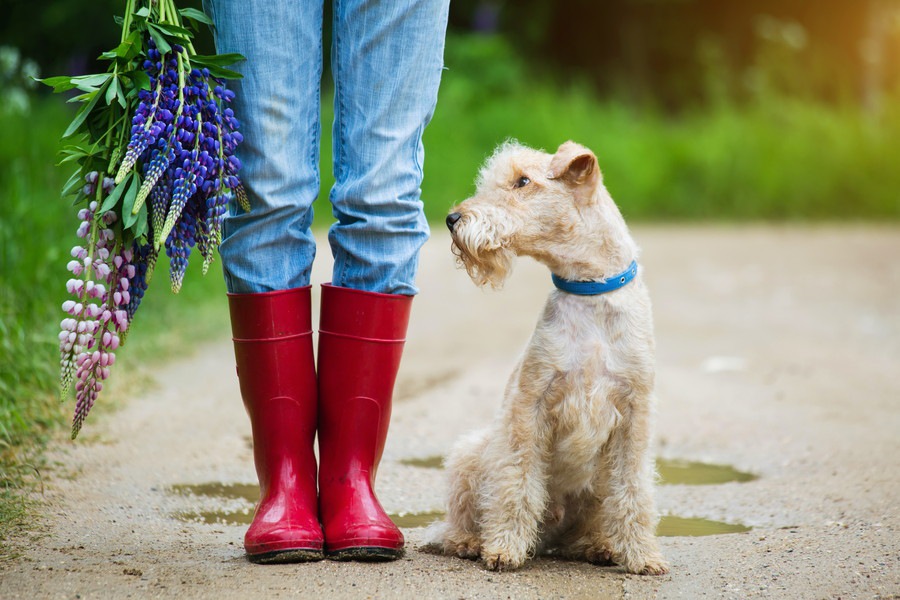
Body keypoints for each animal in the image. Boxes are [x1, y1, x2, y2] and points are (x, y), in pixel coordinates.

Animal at [428, 141, 668, 576]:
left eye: (523, 181)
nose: (453, 219)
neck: (590, 292)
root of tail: (548, 536)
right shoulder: (531, 403)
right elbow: (518, 480)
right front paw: (503, 550)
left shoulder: (635, 413)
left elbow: (633, 490)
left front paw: (644, 556)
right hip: (471, 454)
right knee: (454, 522)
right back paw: (471, 542)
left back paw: (599, 546)